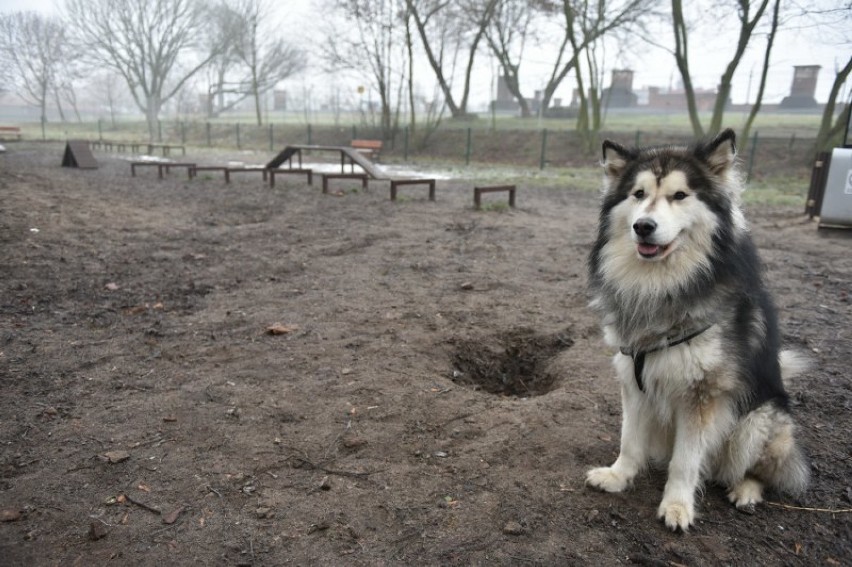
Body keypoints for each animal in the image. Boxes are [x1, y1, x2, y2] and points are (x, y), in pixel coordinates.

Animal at [584, 129, 808, 532]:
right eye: (638, 194)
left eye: (680, 195)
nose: (643, 226)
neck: (661, 285)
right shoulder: (633, 379)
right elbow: (629, 440)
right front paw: (618, 476)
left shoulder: (702, 394)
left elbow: (686, 461)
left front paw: (677, 506)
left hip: (757, 421)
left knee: (758, 470)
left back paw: (746, 490)